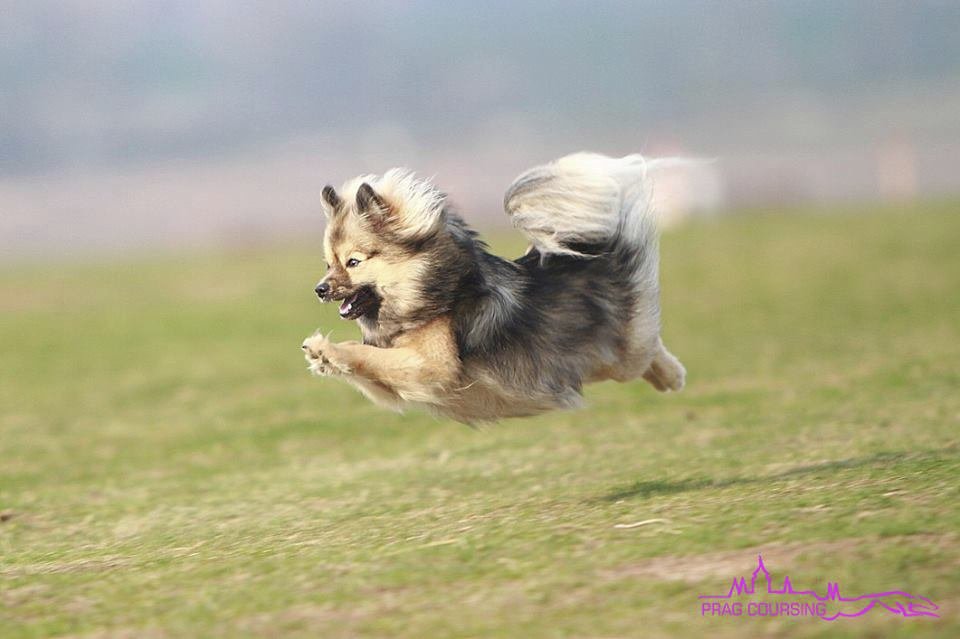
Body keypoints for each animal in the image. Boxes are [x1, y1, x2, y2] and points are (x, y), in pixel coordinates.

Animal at [304, 152, 688, 424]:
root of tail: (595, 251)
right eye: (328, 264)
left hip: (624, 353)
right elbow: (367, 362)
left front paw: (325, 349)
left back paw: (673, 375)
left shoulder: (433, 367)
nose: (319, 289)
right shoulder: (398, 384)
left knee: (648, 348)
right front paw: (326, 358)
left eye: (353, 262)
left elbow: (364, 353)